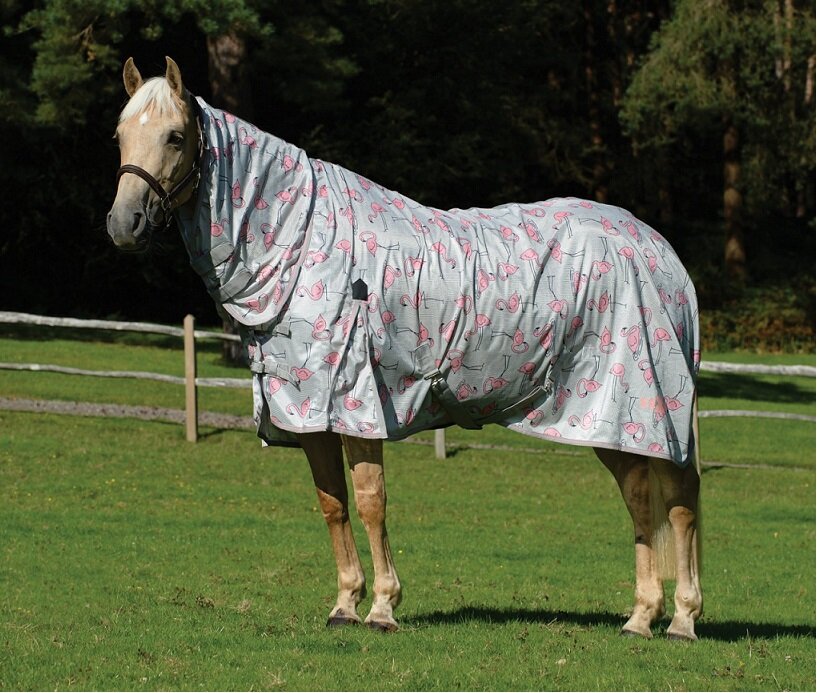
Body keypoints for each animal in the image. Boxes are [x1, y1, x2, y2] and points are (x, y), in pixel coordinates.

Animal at [106, 57, 702, 639]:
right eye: (119, 135)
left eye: (175, 136)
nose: (124, 223)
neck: (303, 244)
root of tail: (659, 251)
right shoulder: (308, 412)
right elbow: (332, 503)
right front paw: (345, 604)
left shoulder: (356, 403)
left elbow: (371, 501)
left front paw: (382, 608)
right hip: (612, 421)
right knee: (647, 499)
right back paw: (647, 616)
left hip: (638, 409)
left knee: (673, 503)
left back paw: (676, 620)